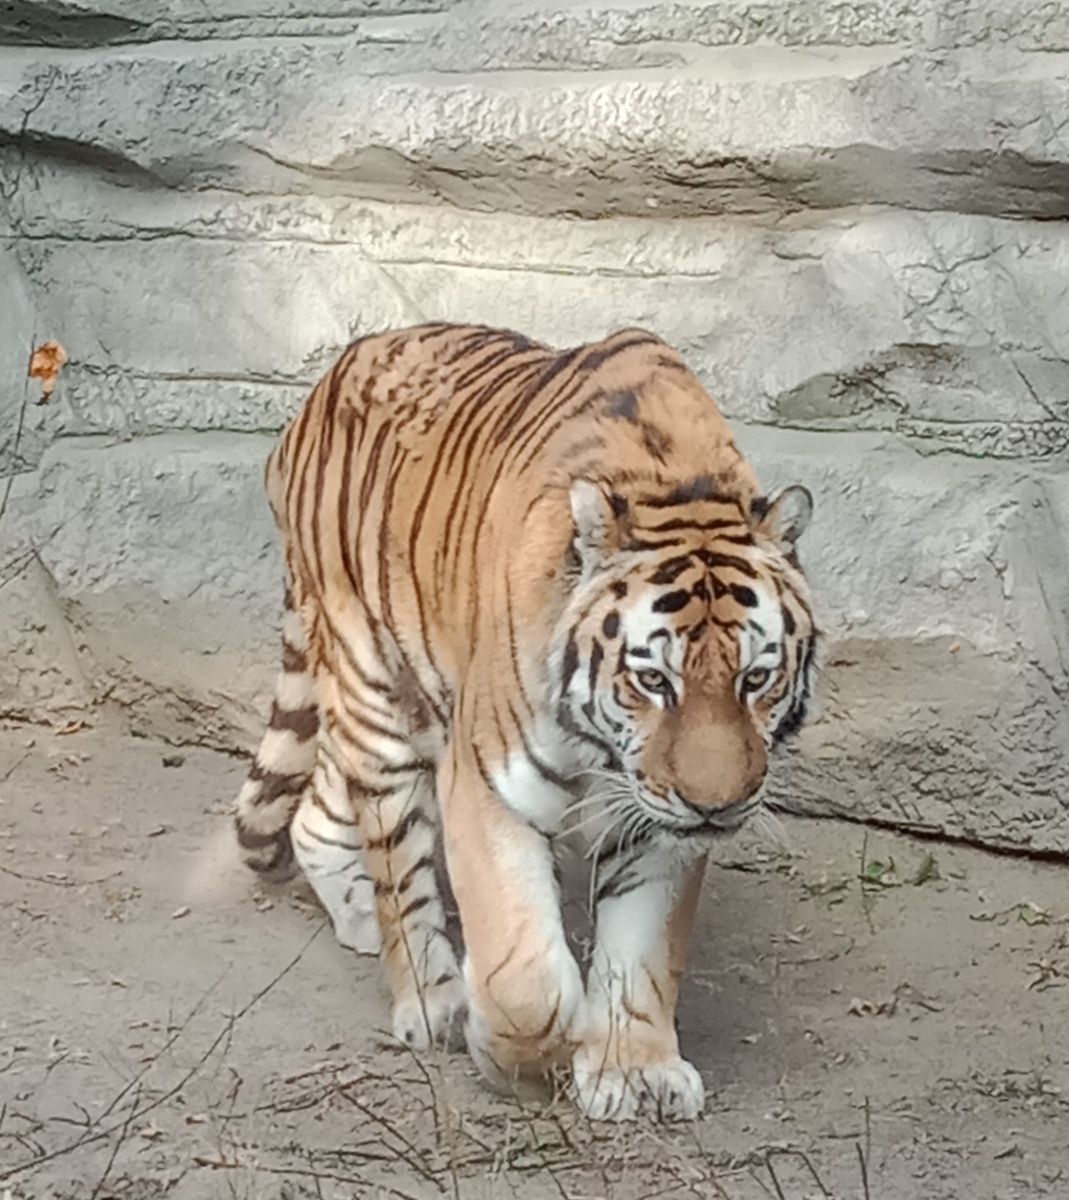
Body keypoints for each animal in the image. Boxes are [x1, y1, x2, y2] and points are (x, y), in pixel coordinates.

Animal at [233, 323, 816, 1121]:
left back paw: (354, 917)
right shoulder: (485, 783)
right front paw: (520, 1058)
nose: (715, 807)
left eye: (755, 679)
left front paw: (637, 1070)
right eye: (653, 680)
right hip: (376, 690)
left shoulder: (658, 824)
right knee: (397, 869)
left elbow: (643, 951)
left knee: (321, 800)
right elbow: (524, 981)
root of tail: (326, 382)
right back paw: (434, 1001)